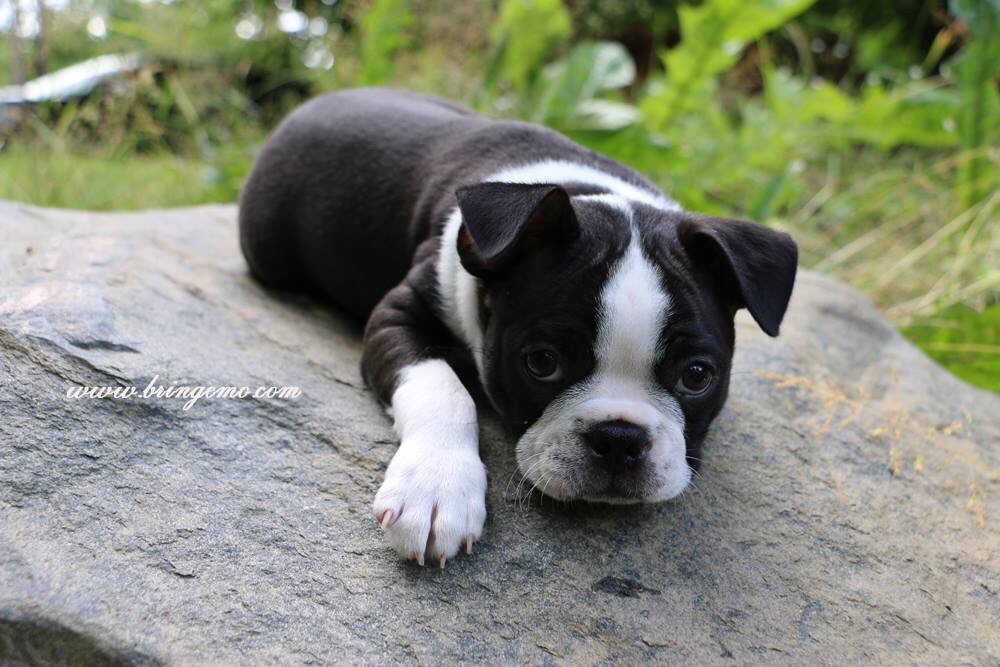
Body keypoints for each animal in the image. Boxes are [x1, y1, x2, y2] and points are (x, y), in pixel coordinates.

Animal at [238, 87, 797, 566]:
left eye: (697, 376)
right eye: (541, 363)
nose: (619, 438)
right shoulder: (397, 315)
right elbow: (444, 390)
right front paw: (436, 487)